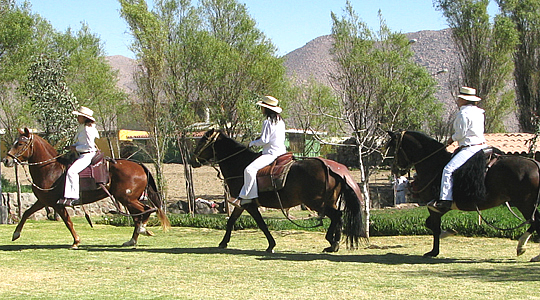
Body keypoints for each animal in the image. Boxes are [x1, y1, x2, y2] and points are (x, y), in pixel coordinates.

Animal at [1, 127, 171, 247]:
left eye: (20, 143)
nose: (6, 160)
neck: (51, 169)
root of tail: (139, 165)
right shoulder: (43, 201)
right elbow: (26, 213)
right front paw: (16, 234)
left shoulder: (57, 204)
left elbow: (68, 222)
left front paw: (76, 241)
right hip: (127, 199)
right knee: (139, 215)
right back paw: (132, 240)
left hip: (127, 198)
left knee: (146, 210)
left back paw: (142, 230)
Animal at [191, 129, 368, 253]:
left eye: (202, 141)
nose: (192, 160)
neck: (240, 165)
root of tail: (330, 168)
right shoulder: (242, 203)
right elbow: (231, 221)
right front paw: (223, 242)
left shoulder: (249, 204)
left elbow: (261, 224)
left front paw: (271, 245)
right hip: (327, 202)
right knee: (338, 217)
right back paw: (333, 243)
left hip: (317, 203)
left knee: (337, 216)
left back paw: (332, 242)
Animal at [388, 130, 540, 262]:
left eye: (394, 148)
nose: (395, 169)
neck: (434, 164)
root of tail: (536, 165)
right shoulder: (440, 207)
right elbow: (430, 224)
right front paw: (445, 236)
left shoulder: (435, 206)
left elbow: (434, 226)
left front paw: (435, 249)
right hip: (528, 203)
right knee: (534, 221)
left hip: (524, 203)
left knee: (535, 221)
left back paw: (524, 248)